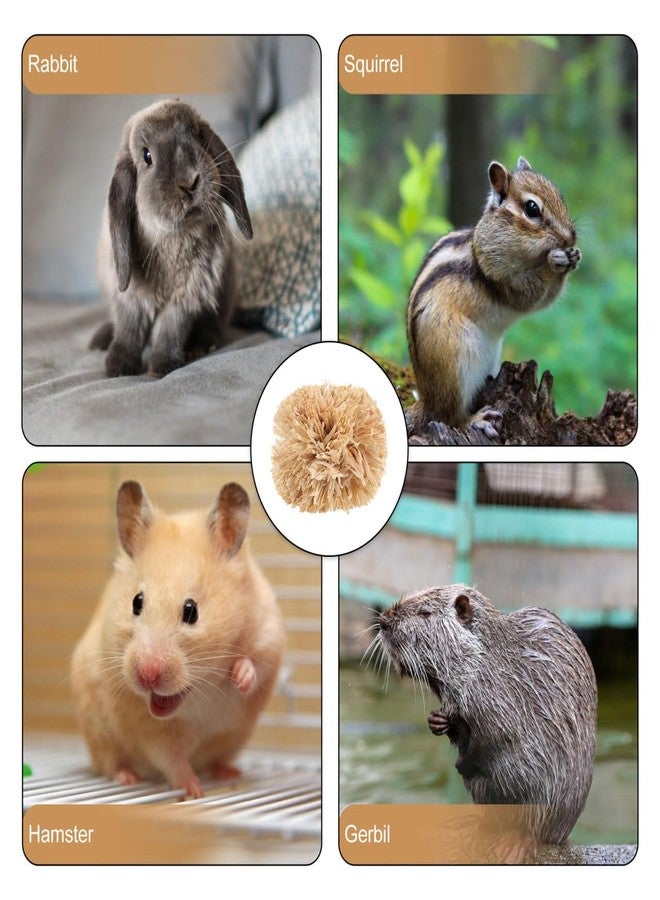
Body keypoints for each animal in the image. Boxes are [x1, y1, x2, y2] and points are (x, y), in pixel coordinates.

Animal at [70, 480, 285, 798]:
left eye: (191, 610)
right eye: (136, 602)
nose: (147, 675)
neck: (199, 690)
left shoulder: (269, 636)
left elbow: (256, 664)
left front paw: (240, 676)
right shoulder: (156, 732)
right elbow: (172, 761)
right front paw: (195, 791)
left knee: (216, 760)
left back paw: (230, 772)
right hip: (100, 736)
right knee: (110, 764)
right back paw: (128, 777)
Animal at [90, 99, 253, 377]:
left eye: (196, 134)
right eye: (147, 156)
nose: (189, 181)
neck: (172, 238)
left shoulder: (186, 295)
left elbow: (170, 329)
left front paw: (163, 367)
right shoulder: (130, 296)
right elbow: (129, 329)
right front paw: (117, 367)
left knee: (213, 326)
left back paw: (201, 345)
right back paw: (100, 340)